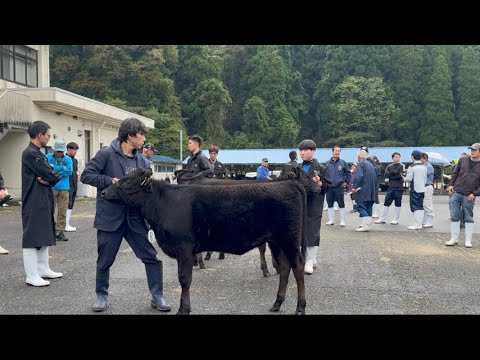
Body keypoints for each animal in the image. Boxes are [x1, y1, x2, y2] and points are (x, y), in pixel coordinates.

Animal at [103, 169, 310, 316]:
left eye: (126, 182)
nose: (104, 192)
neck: (164, 204)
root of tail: (289, 183)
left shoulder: (184, 248)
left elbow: (184, 279)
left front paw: (183, 309)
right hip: (276, 241)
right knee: (284, 268)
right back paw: (277, 303)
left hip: (290, 240)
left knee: (297, 267)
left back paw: (300, 307)